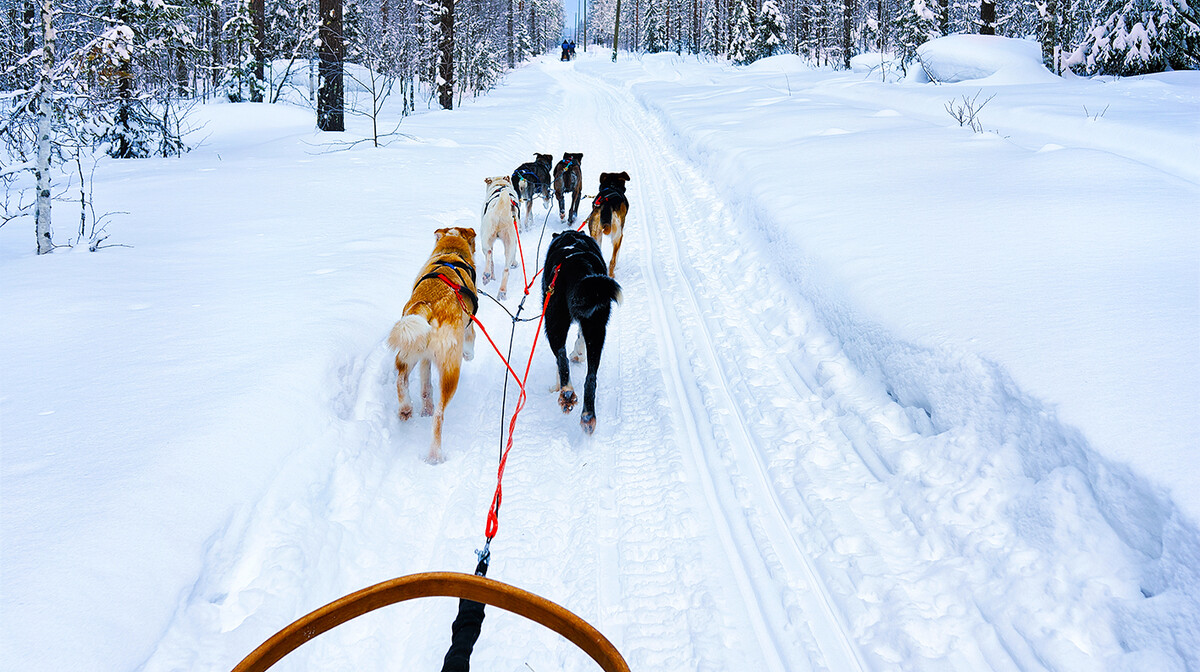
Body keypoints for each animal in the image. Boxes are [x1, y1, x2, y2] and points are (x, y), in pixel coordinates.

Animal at [386, 225, 475, 460]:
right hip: (450, 370)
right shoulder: (470, 326)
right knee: (439, 415)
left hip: (408, 350)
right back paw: (435, 454)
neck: (450, 253)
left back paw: (406, 408)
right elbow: (471, 341)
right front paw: (469, 354)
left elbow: (425, 385)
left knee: (401, 379)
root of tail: (427, 304)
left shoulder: (424, 358)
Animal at [542, 228, 624, 432]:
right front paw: (578, 354)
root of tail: (578, 266)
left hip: (553, 323)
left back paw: (565, 392)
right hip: (596, 329)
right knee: (591, 378)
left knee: (561, 358)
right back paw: (588, 416)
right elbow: (579, 339)